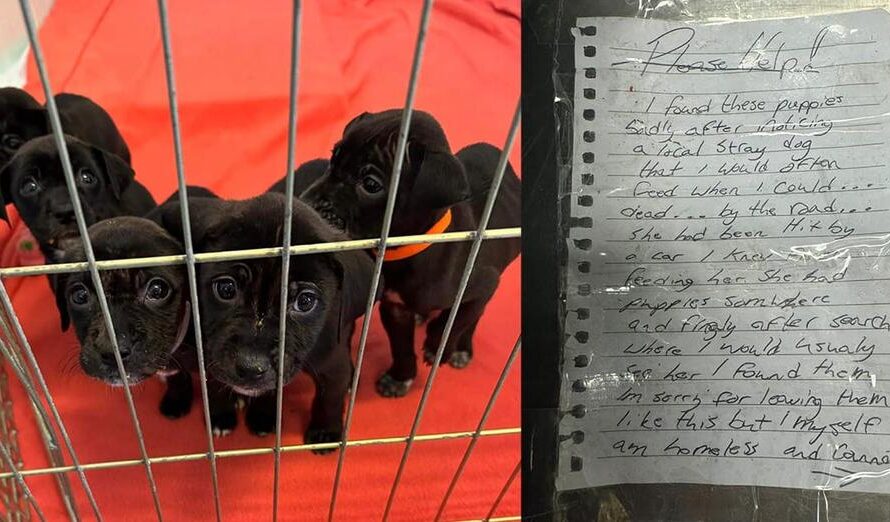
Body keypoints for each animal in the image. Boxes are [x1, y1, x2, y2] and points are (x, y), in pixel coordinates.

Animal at [153, 192, 374, 446]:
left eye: (305, 301)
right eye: (226, 289)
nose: (250, 368)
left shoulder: (331, 361)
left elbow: (330, 397)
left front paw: (324, 432)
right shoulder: (210, 355)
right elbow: (215, 386)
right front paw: (222, 416)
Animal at [302, 108, 520, 394]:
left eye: (371, 184)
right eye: (333, 160)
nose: (306, 205)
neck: (409, 249)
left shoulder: (484, 283)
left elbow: (458, 319)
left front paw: (439, 346)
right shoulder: (395, 307)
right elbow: (401, 346)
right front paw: (400, 377)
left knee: (475, 316)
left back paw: (461, 348)